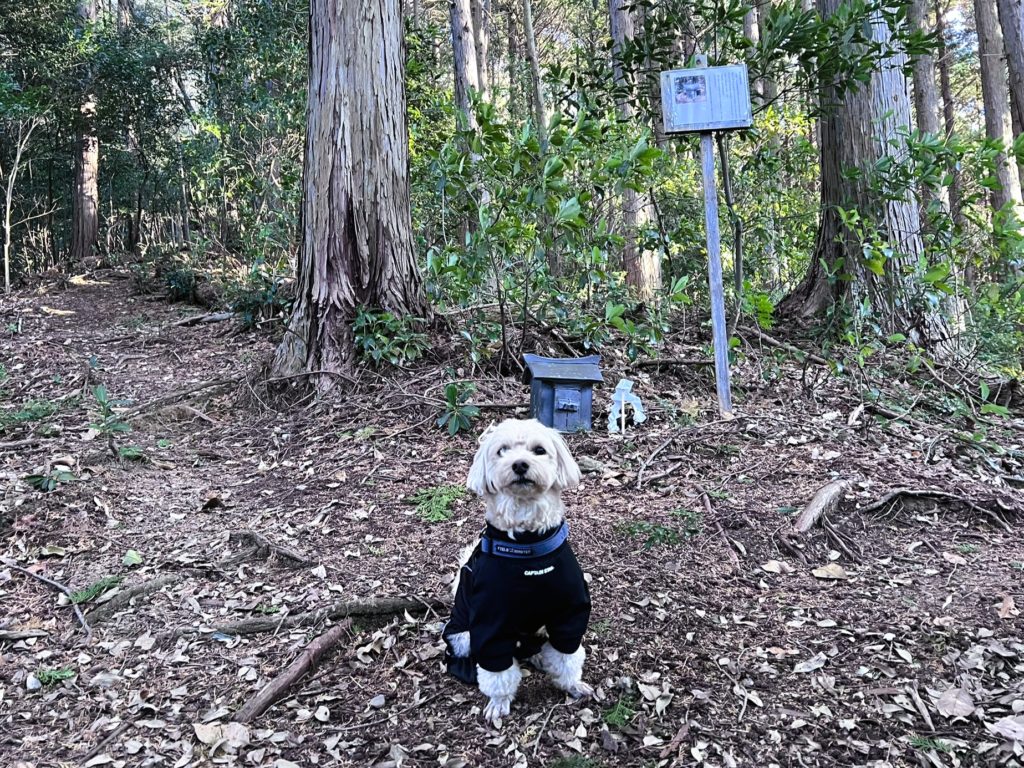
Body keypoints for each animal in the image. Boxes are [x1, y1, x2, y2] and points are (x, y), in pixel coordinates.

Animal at [442, 418, 592, 722]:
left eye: (539, 450)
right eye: (502, 450)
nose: (520, 464)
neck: (528, 547)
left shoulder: (570, 611)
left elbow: (567, 653)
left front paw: (571, 684)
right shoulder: (490, 623)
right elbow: (497, 670)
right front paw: (499, 702)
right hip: (462, 636)